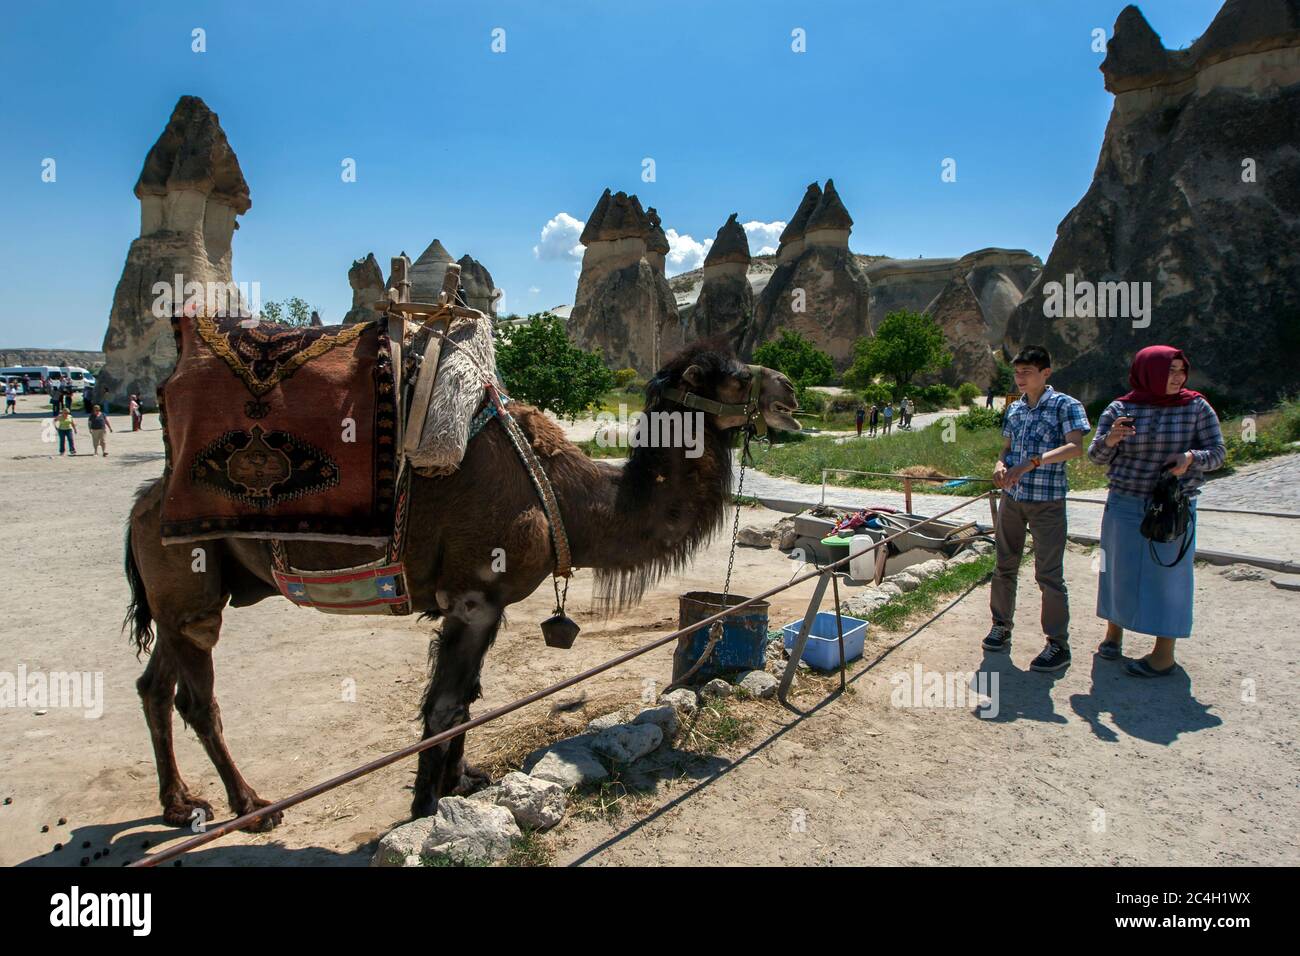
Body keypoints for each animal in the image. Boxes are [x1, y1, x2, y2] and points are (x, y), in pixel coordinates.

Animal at [124, 343, 790, 832]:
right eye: (732, 375)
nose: (787, 389)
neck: (565, 500)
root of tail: (146, 500)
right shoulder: (475, 598)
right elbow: (446, 705)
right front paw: (424, 808)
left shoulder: (480, 606)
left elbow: (467, 698)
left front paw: (462, 785)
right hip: (189, 583)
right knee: (197, 700)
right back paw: (252, 807)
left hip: (184, 594)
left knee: (154, 685)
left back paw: (180, 805)